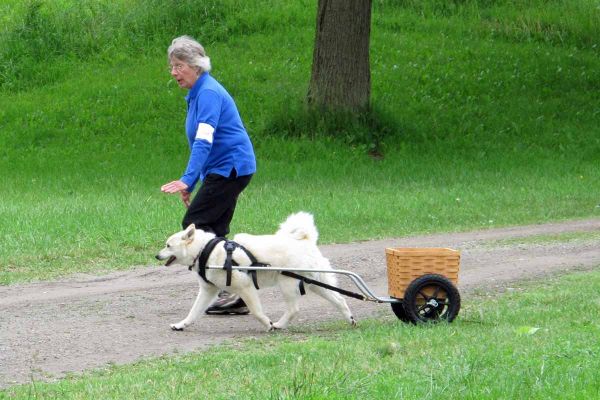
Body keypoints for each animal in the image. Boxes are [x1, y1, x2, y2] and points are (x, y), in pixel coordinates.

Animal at [156, 212, 356, 332]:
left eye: (168, 245)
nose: (156, 255)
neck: (205, 249)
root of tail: (306, 241)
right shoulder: (208, 291)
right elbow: (193, 312)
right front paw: (181, 325)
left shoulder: (245, 287)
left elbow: (256, 311)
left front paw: (267, 324)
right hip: (315, 283)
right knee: (340, 299)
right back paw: (351, 319)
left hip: (288, 284)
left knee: (294, 309)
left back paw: (279, 324)